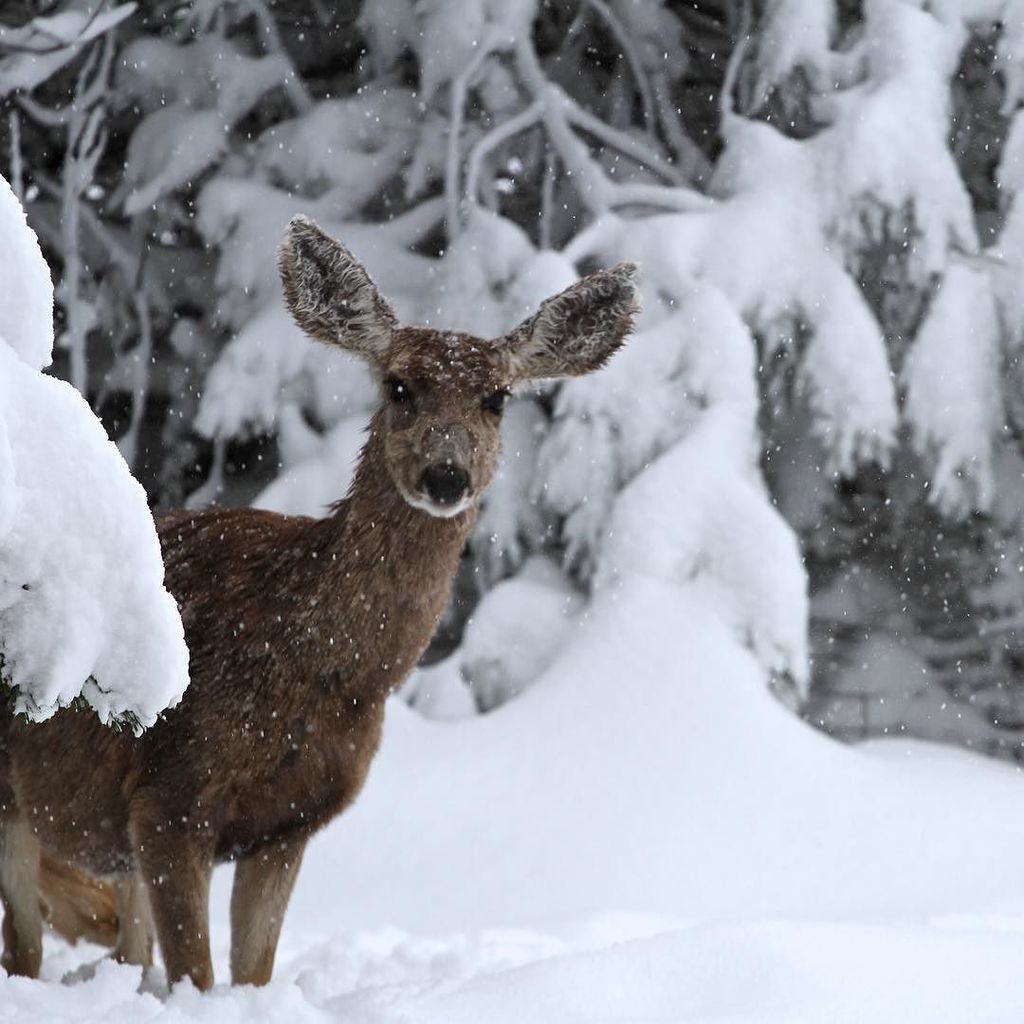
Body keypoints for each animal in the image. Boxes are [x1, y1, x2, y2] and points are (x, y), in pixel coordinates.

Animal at [0, 215, 639, 990]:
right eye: (399, 385)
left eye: (497, 397)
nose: (446, 475)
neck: (316, 667)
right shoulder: (168, 797)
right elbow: (197, 978)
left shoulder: (291, 822)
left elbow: (252, 972)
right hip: (13, 798)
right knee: (25, 950)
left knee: (122, 951)